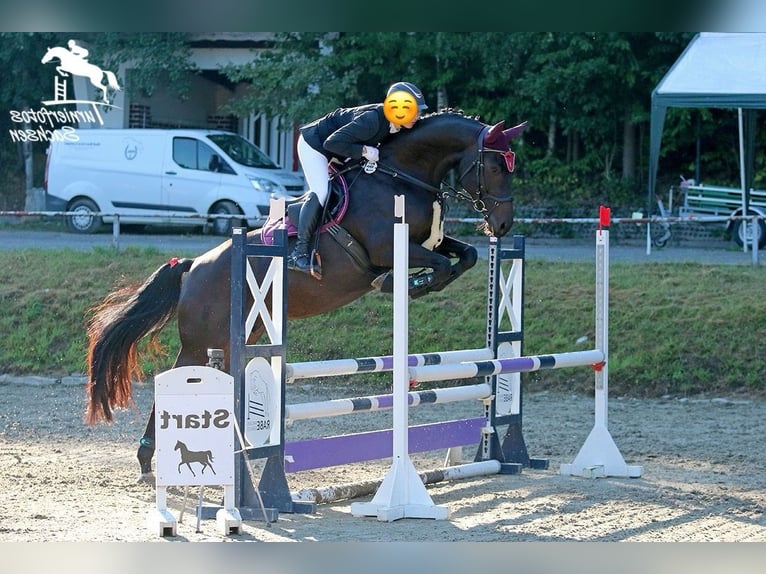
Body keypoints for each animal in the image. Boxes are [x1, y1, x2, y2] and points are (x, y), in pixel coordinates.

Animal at [84, 109, 528, 482]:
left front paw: (422, 283)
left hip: (237, 339)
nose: (504, 225)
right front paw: (402, 284)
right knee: (177, 381)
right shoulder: (389, 248)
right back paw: (148, 458)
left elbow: (466, 256)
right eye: (493, 166)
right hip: (202, 342)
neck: (402, 175)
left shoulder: (432, 242)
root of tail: (193, 266)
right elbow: (434, 265)